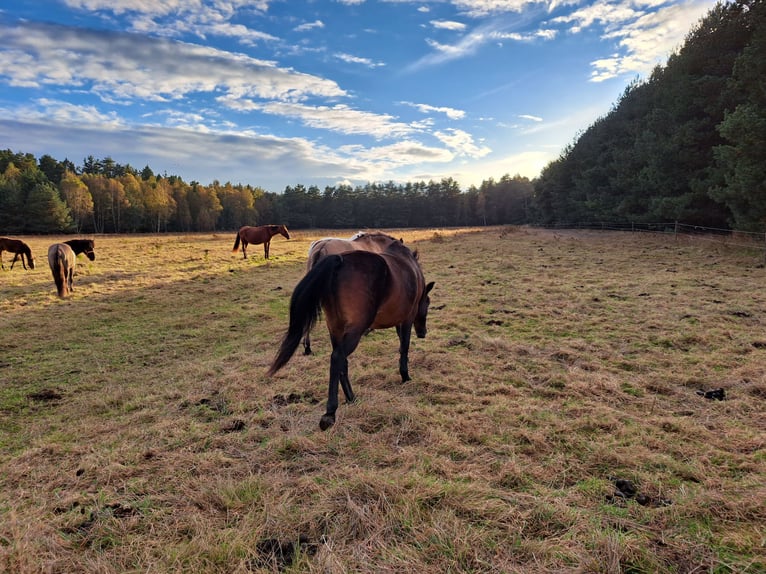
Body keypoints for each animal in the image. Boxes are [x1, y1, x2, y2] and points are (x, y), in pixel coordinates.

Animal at [270, 240, 436, 432]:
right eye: (428, 302)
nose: (423, 332)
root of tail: (339, 261)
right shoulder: (407, 319)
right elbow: (404, 347)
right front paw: (405, 375)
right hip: (354, 330)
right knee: (337, 357)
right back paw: (330, 413)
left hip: (336, 329)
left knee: (341, 360)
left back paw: (351, 398)